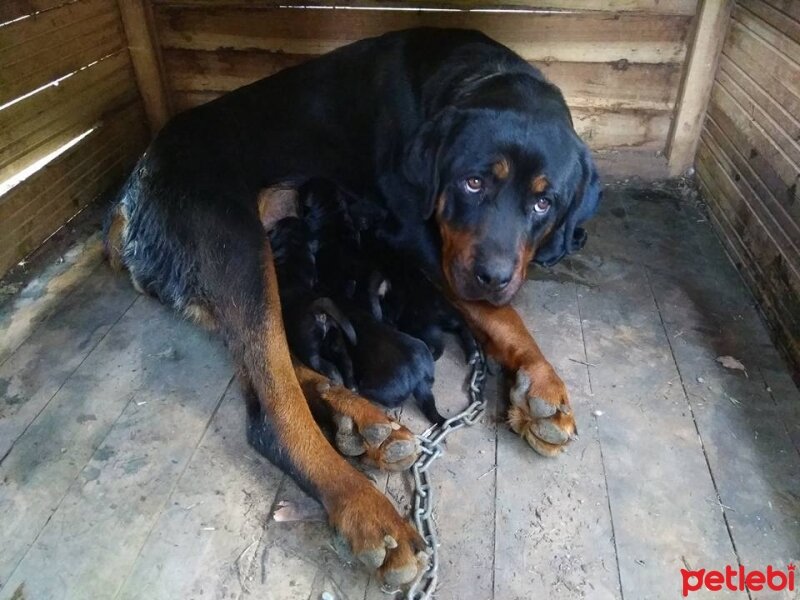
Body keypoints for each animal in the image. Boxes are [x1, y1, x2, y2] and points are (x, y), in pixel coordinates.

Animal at [268, 216, 356, 390]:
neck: (293, 247)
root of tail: (318, 310)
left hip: (309, 349)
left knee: (325, 365)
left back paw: (335, 380)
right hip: (337, 339)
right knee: (347, 361)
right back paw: (351, 385)